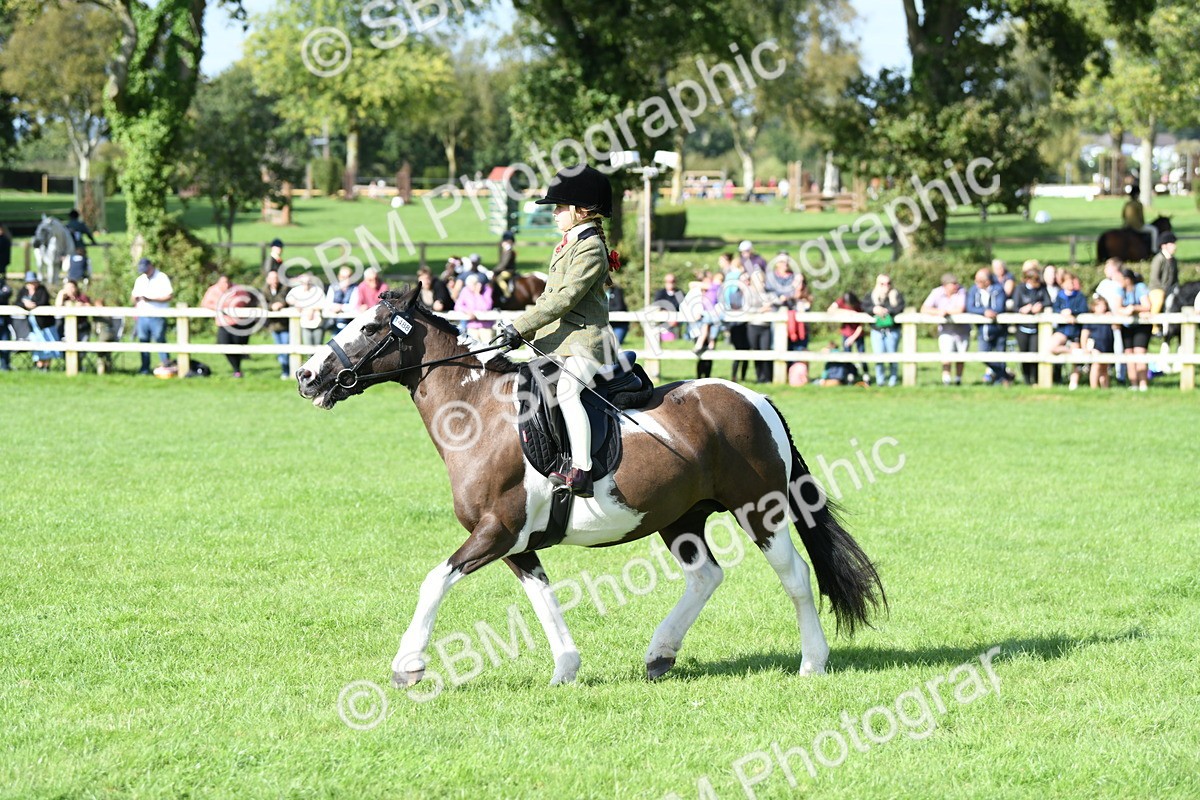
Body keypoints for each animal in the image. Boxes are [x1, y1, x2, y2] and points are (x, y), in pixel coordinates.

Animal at [296, 287, 885, 688]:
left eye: (370, 328)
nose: (307, 376)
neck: (479, 414)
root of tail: (755, 398)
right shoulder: (516, 544)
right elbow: (543, 600)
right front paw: (566, 668)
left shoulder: (495, 531)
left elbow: (433, 582)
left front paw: (408, 665)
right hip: (681, 518)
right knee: (705, 576)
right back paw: (660, 653)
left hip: (758, 510)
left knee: (795, 577)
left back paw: (812, 662)